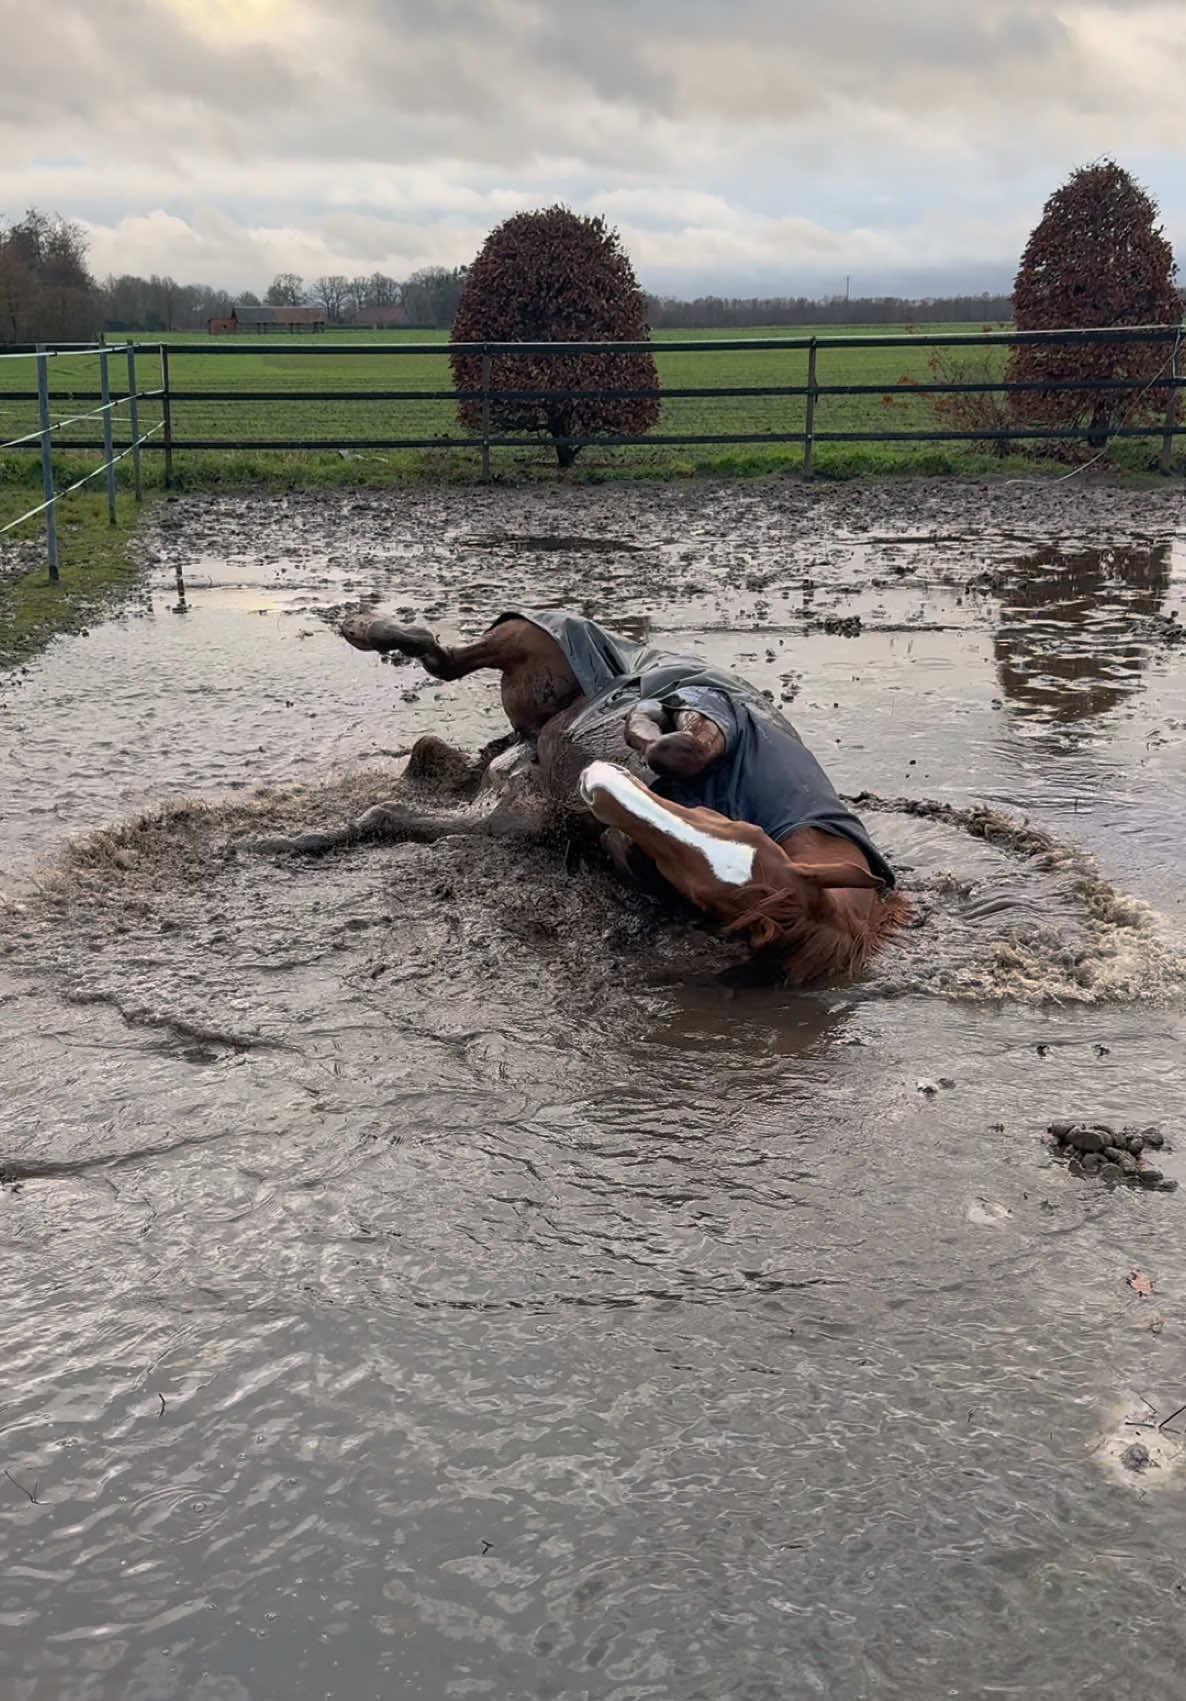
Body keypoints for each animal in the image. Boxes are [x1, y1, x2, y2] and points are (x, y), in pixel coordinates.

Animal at [342, 608, 905, 986]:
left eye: (701, 890)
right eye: (730, 825)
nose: (599, 781)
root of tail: (530, 734)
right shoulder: (721, 715)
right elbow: (678, 744)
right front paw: (641, 721)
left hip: (515, 805)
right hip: (532, 639)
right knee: (448, 657)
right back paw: (364, 628)